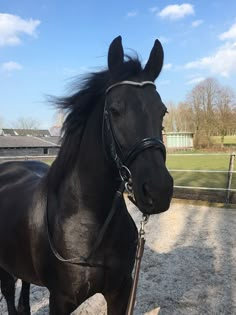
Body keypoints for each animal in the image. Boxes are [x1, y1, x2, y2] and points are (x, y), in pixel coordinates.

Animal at [0, 35, 173, 314]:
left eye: (162, 111)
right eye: (114, 110)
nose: (159, 190)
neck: (89, 221)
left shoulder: (121, 291)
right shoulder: (60, 300)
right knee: (8, 293)